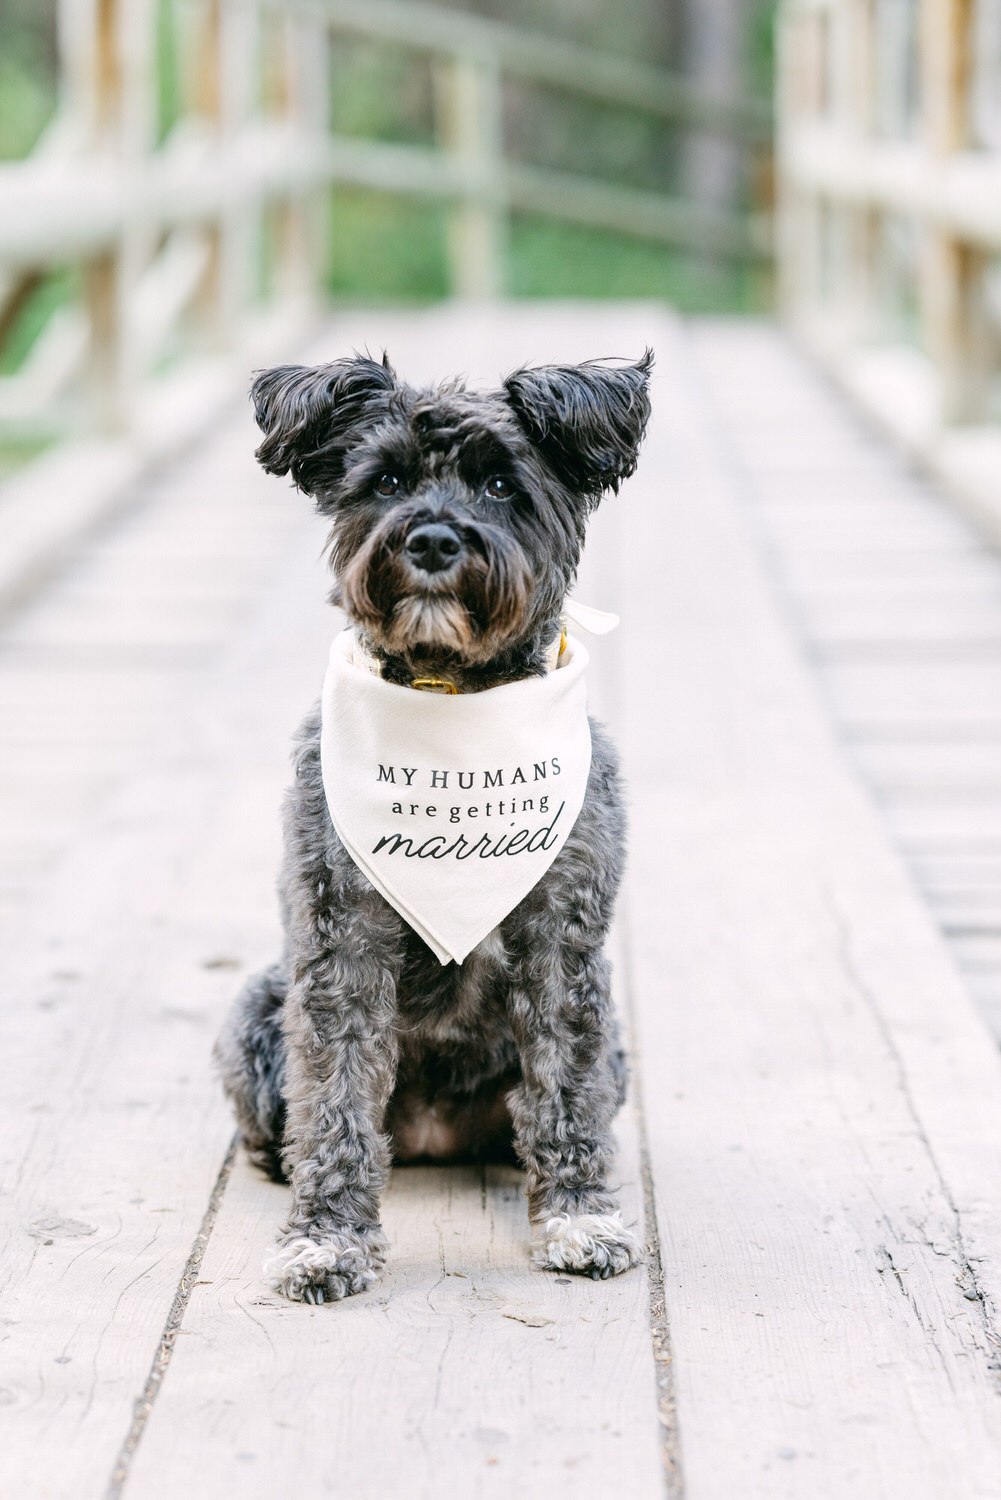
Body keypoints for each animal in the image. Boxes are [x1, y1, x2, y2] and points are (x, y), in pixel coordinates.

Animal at [216, 348, 654, 1302]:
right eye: (384, 481)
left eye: (500, 484)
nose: (431, 542)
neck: (450, 692)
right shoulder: (340, 941)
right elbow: (337, 1097)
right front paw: (327, 1238)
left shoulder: (563, 942)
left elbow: (563, 1085)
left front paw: (579, 1218)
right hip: (254, 1015)